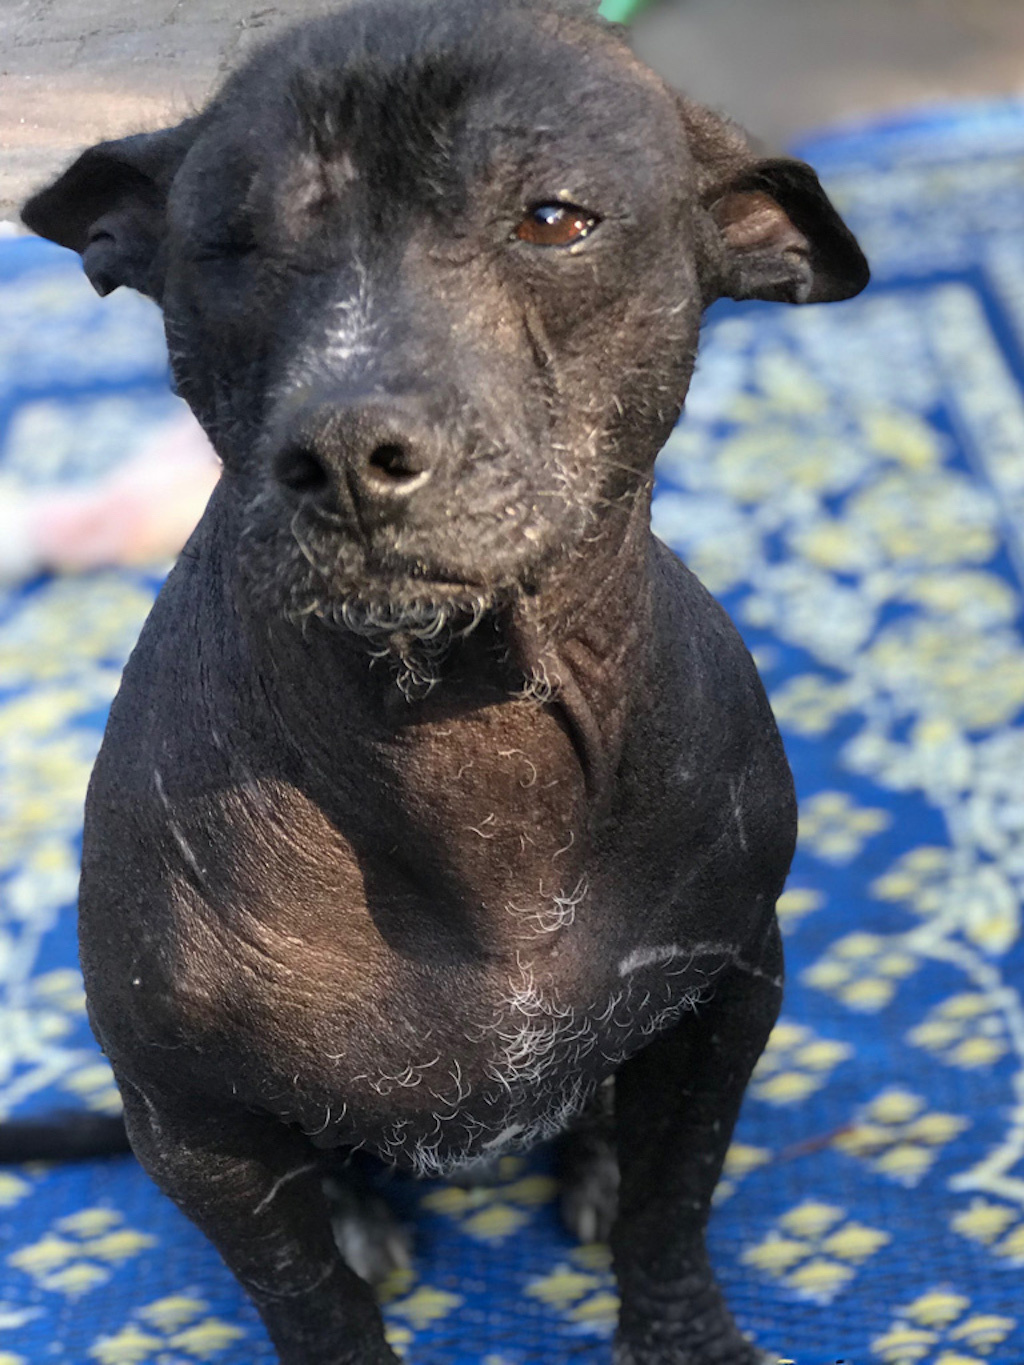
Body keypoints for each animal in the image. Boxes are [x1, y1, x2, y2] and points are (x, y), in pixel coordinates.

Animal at [20, 5, 868, 1359]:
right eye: (230, 245)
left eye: (555, 220)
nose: (345, 452)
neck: (462, 745)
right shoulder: (189, 1125)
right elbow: (310, 1298)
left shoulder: (728, 1003)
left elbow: (674, 1209)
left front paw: (678, 1327)